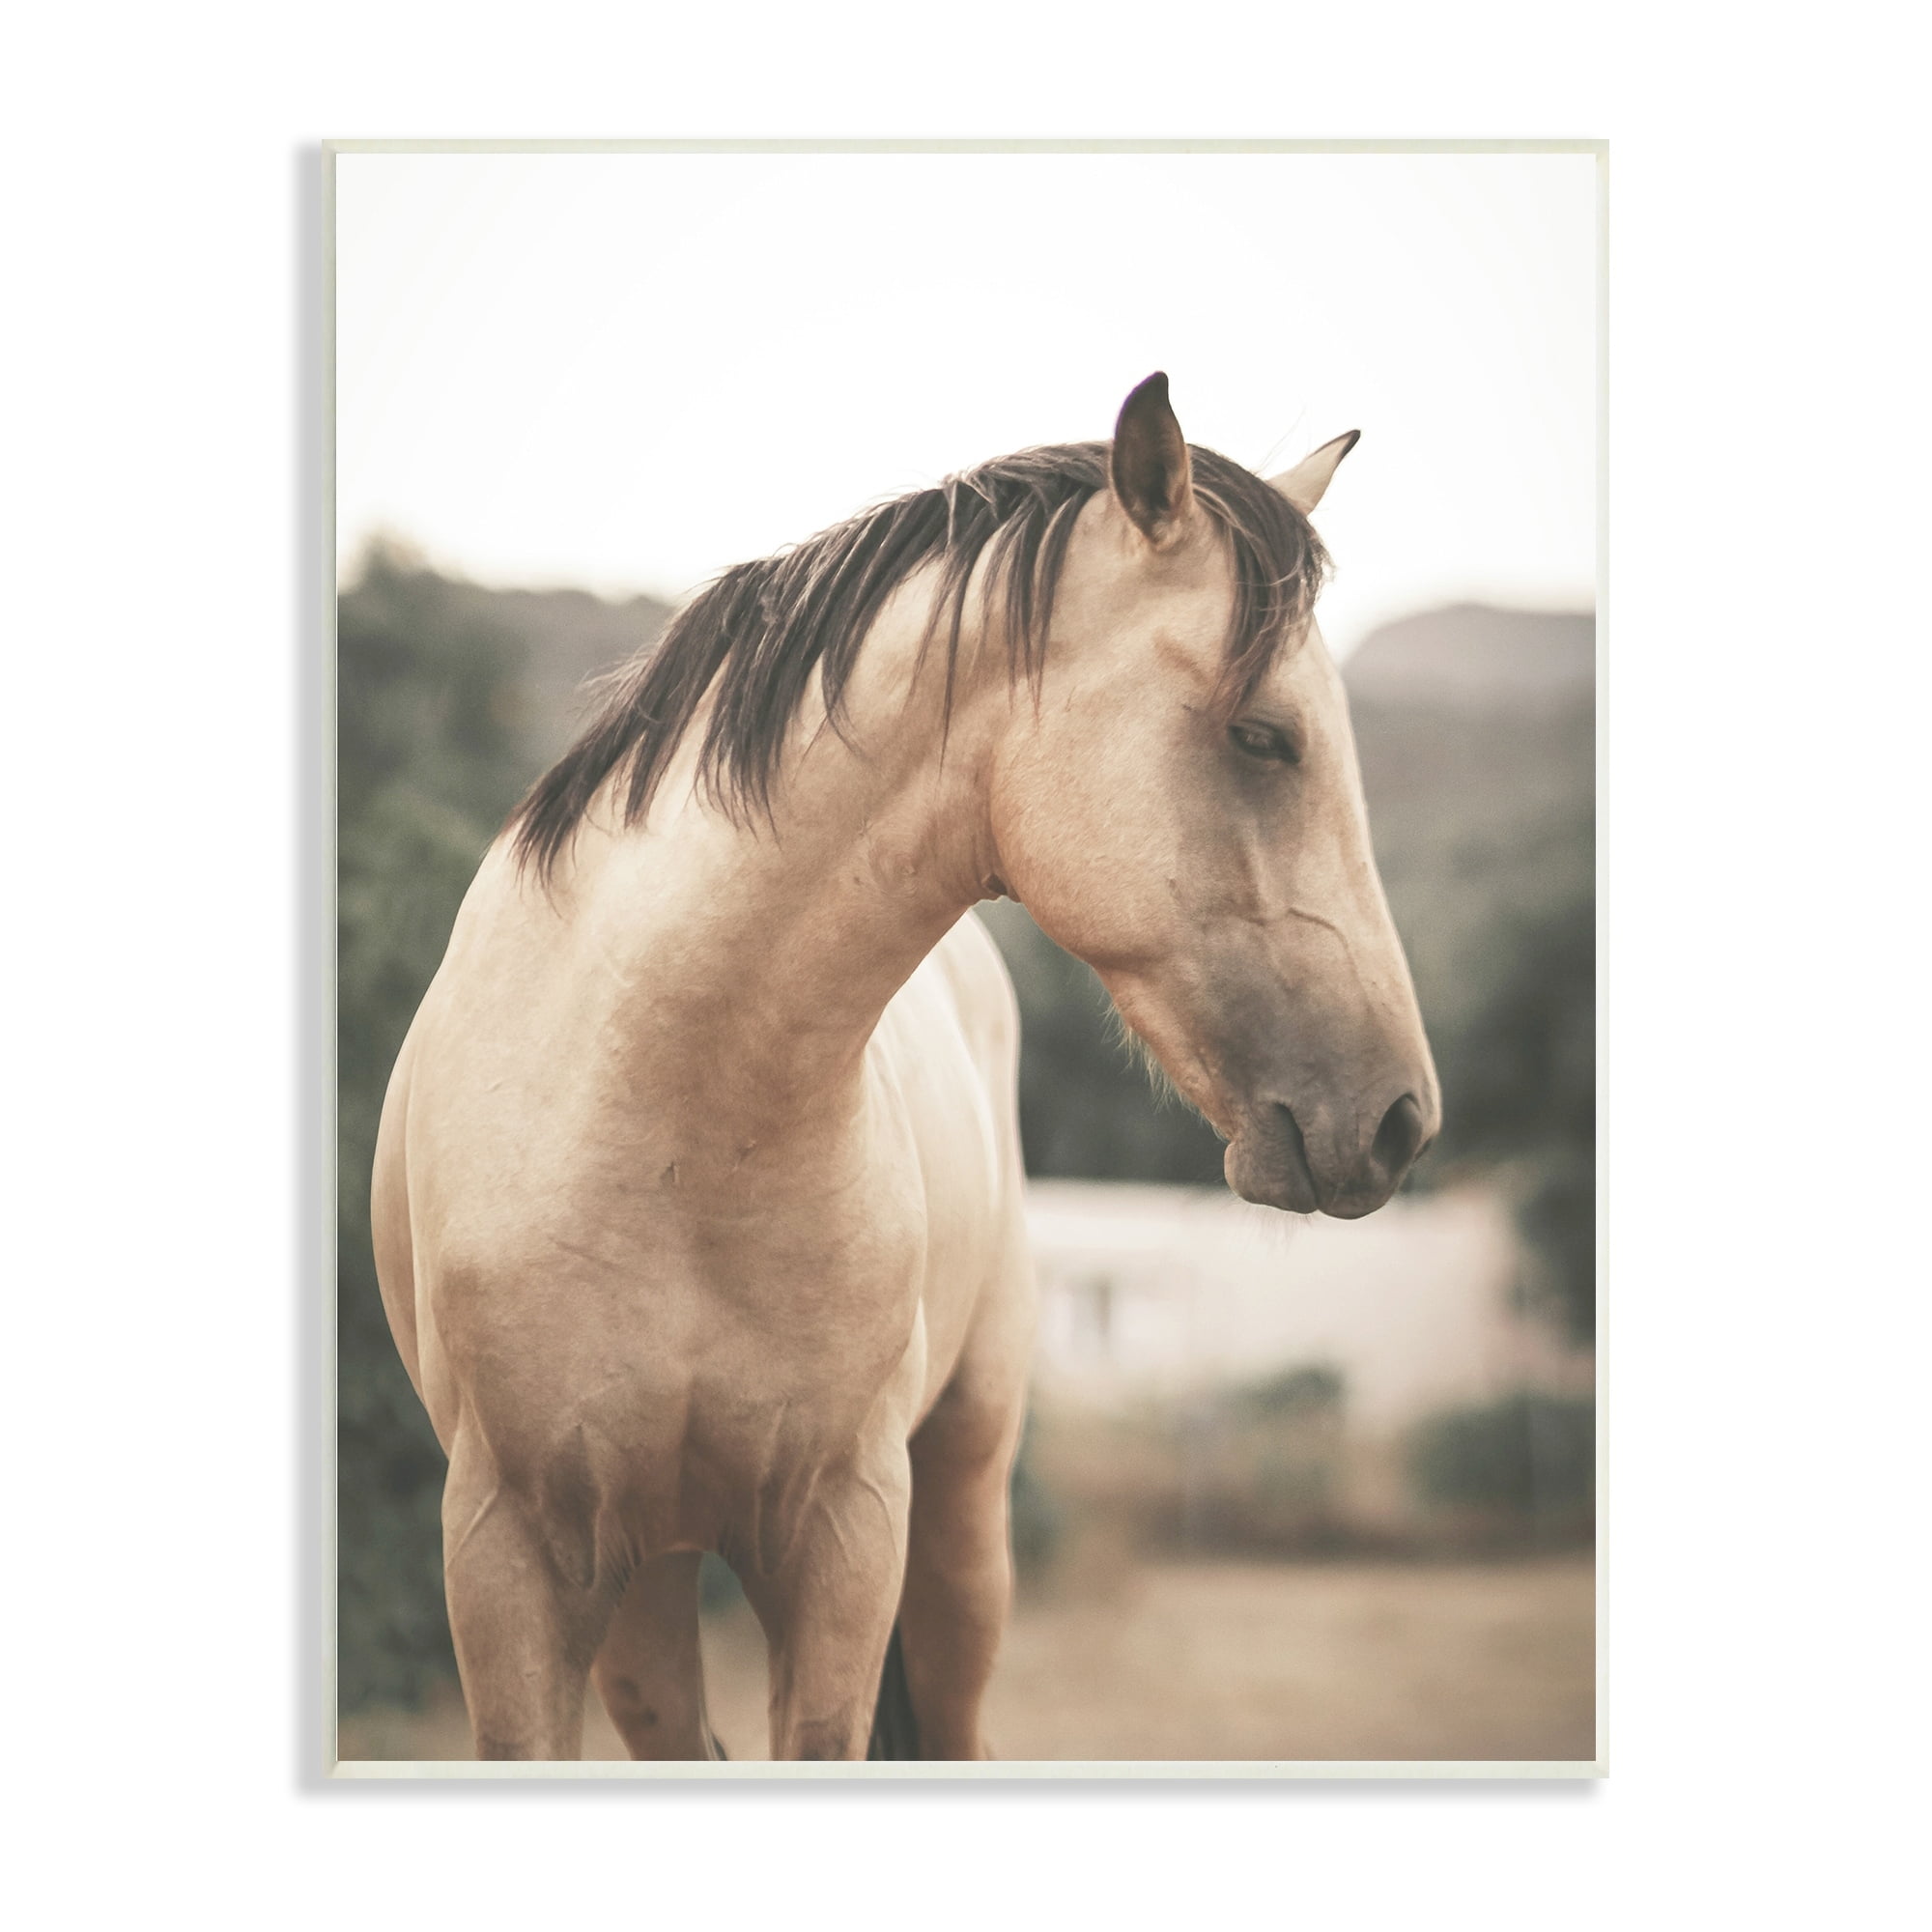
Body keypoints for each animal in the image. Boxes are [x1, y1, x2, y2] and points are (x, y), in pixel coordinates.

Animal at [369, 372, 1441, 1763]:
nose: (1400, 1117)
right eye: (1264, 737)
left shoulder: (843, 1535)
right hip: (647, 1584)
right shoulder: (510, 1556)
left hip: (958, 1517)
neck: (656, 1114)